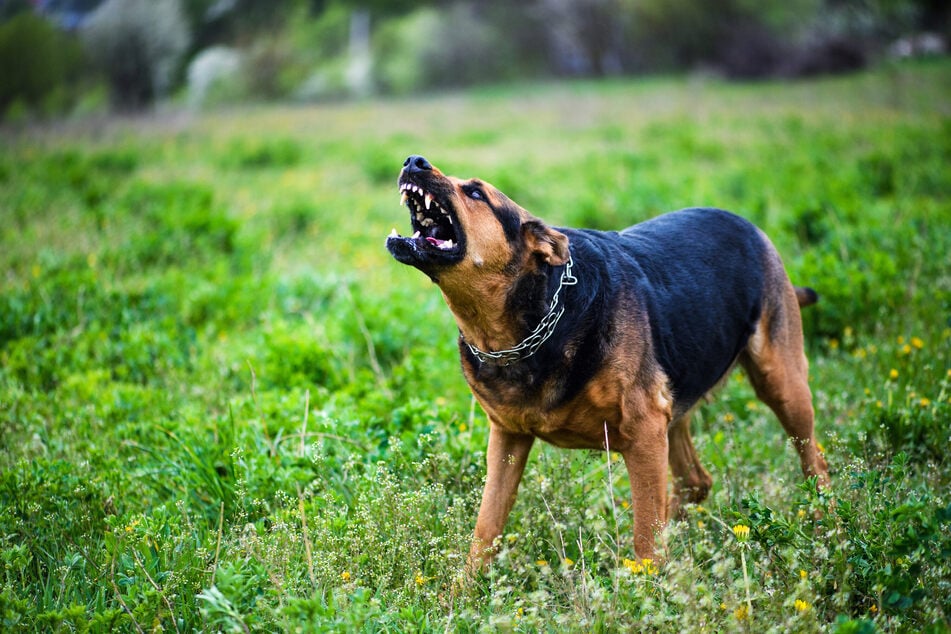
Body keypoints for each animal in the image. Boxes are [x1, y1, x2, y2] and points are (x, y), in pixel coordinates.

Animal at [384, 154, 828, 568]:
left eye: (476, 192)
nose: (414, 161)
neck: (524, 326)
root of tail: (748, 225)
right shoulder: (507, 438)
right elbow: (486, 527)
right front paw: (464, 591)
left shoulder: (644, 432)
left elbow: (645, 535)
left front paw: (648, 590)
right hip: (675, 406)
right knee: (696, 482)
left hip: (781, 383)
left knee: (815, 463)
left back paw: (827, 528)